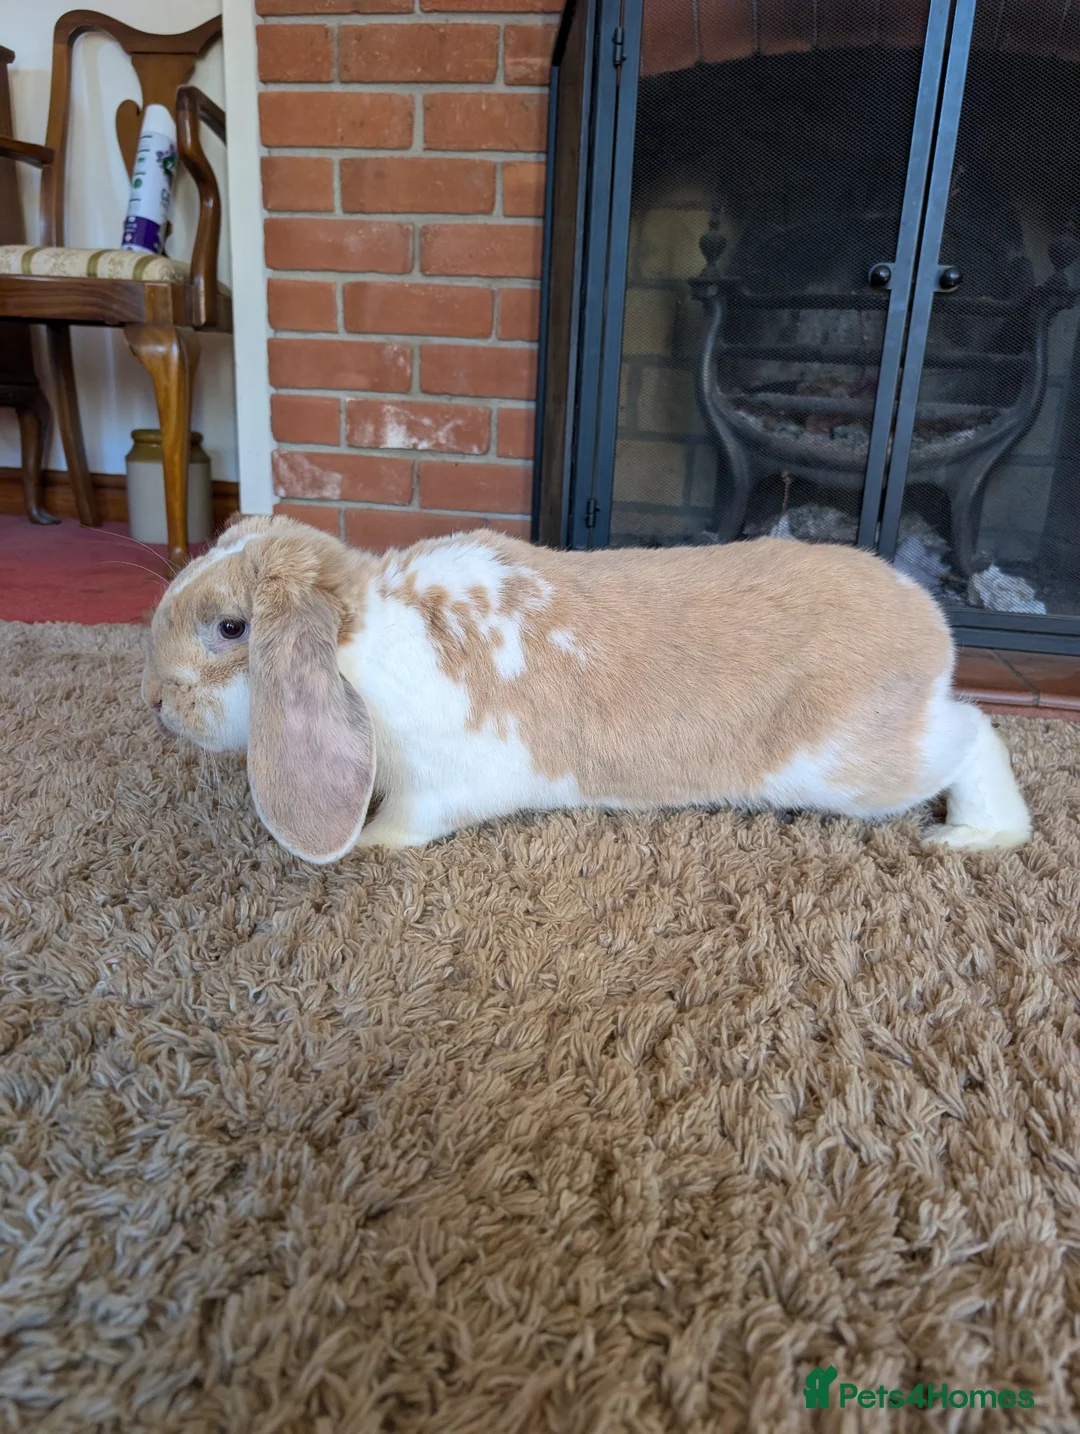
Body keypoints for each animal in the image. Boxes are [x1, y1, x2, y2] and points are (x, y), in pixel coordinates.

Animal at [141, 514, 1032, 865]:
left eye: (230, 628)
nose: (155, 703)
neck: (357, 640)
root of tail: (932, 628)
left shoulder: (440, 785)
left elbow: (406, 824)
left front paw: (366, 846)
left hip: (854, 768)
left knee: (975, 731)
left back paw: (975, 836)